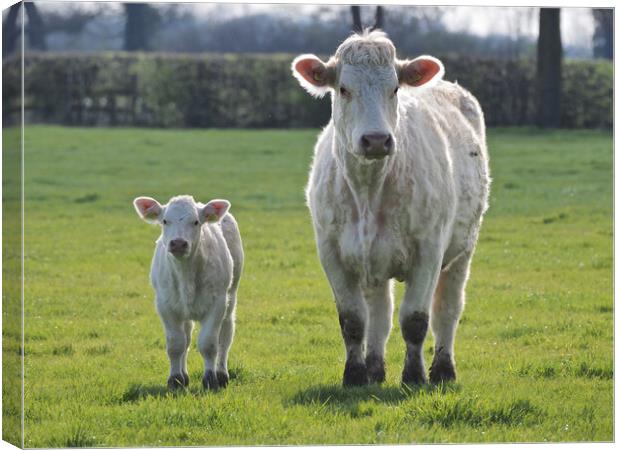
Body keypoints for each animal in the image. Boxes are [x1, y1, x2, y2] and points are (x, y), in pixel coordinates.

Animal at [134, 195, 245, 388]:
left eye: (196, 222)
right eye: (165, 221)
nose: (178, 243)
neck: (185, 274)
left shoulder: (217, 304)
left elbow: (209, 344)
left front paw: (210, 379)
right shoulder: (165, 305)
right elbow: (176, 344)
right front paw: (175, 379)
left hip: (231, 296)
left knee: (226, 334)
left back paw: (222, 373)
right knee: (186, 337)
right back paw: (184, 375)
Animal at [290, 30, 490, 386]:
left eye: (395, 88)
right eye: (344, 89)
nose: (376, 140)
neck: (369, 191)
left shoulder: (429, 251)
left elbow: (415, 319)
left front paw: (414, 375)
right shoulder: (331, 253)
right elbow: (353, 320)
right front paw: (355, 375)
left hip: (463, 251)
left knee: (448, 309)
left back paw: (443, 369)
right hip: (373, 262)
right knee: (379, 314)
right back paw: (374, 368)